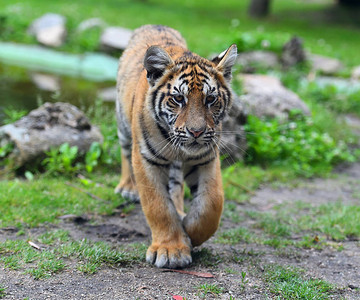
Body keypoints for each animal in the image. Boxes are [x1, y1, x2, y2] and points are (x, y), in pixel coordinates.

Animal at [115, 24, 238, 268]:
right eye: (178, 99)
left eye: (210, 99)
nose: (196, 132)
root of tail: (154, 24)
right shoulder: (145, 159)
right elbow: (158, 206)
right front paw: (171, 250)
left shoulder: (206, 158)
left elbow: (211, 203)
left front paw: (189, 232)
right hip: (123, 126)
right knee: (124, 154)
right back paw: (128, 188)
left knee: (176, 187)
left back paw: (180, 213)